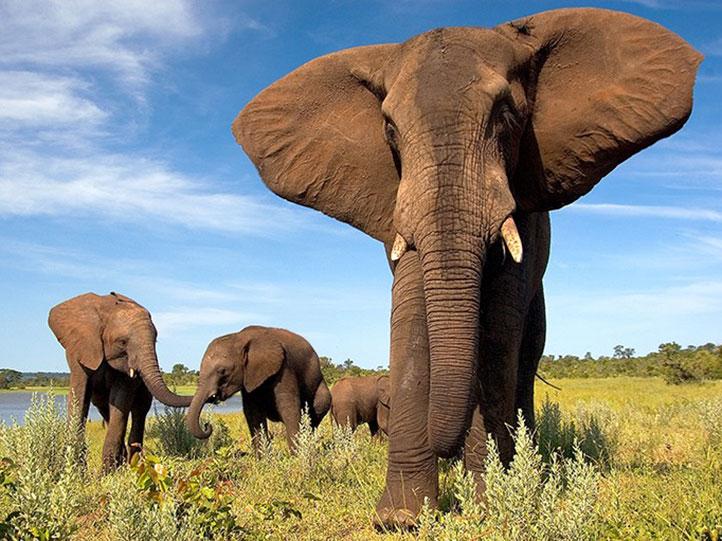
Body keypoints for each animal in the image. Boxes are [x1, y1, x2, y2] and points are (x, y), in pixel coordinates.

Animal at [48, 292, 192, 471]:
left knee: (139, 410)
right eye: (122, 342)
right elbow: (79, 397)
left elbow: (121, 399)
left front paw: (107, 473)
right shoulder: (79, 350)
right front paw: (76, 470)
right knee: (104, 408)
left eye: (155, 341)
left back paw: (134, 464)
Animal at [185, 326, 331, 454]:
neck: (239, 337)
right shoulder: (250, 377)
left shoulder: (284, 368)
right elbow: (253, 413)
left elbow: (289, 408)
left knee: (316, 413)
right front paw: (263, 459)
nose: (207, 425)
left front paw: (297, 457)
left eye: (222, 371)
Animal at [232, 8, 701, 527]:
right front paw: (401, 518)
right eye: (389, 129)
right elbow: (411, 318)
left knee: (524, 358)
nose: (445, 447)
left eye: (506, 114)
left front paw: (488, 504)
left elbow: (496, 330)